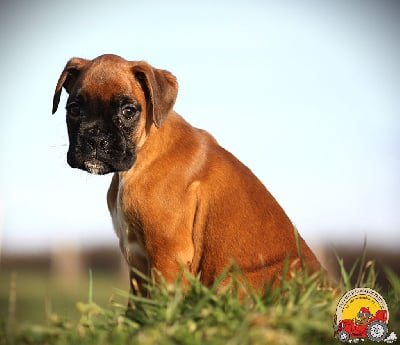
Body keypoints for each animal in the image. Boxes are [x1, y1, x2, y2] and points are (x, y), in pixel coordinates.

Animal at [53, 53, 320, 296]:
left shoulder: (168, 253)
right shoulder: (136, 261)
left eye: (128, 111)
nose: (95, 139)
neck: (143, 153)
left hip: (233, 279)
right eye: (74, 109)